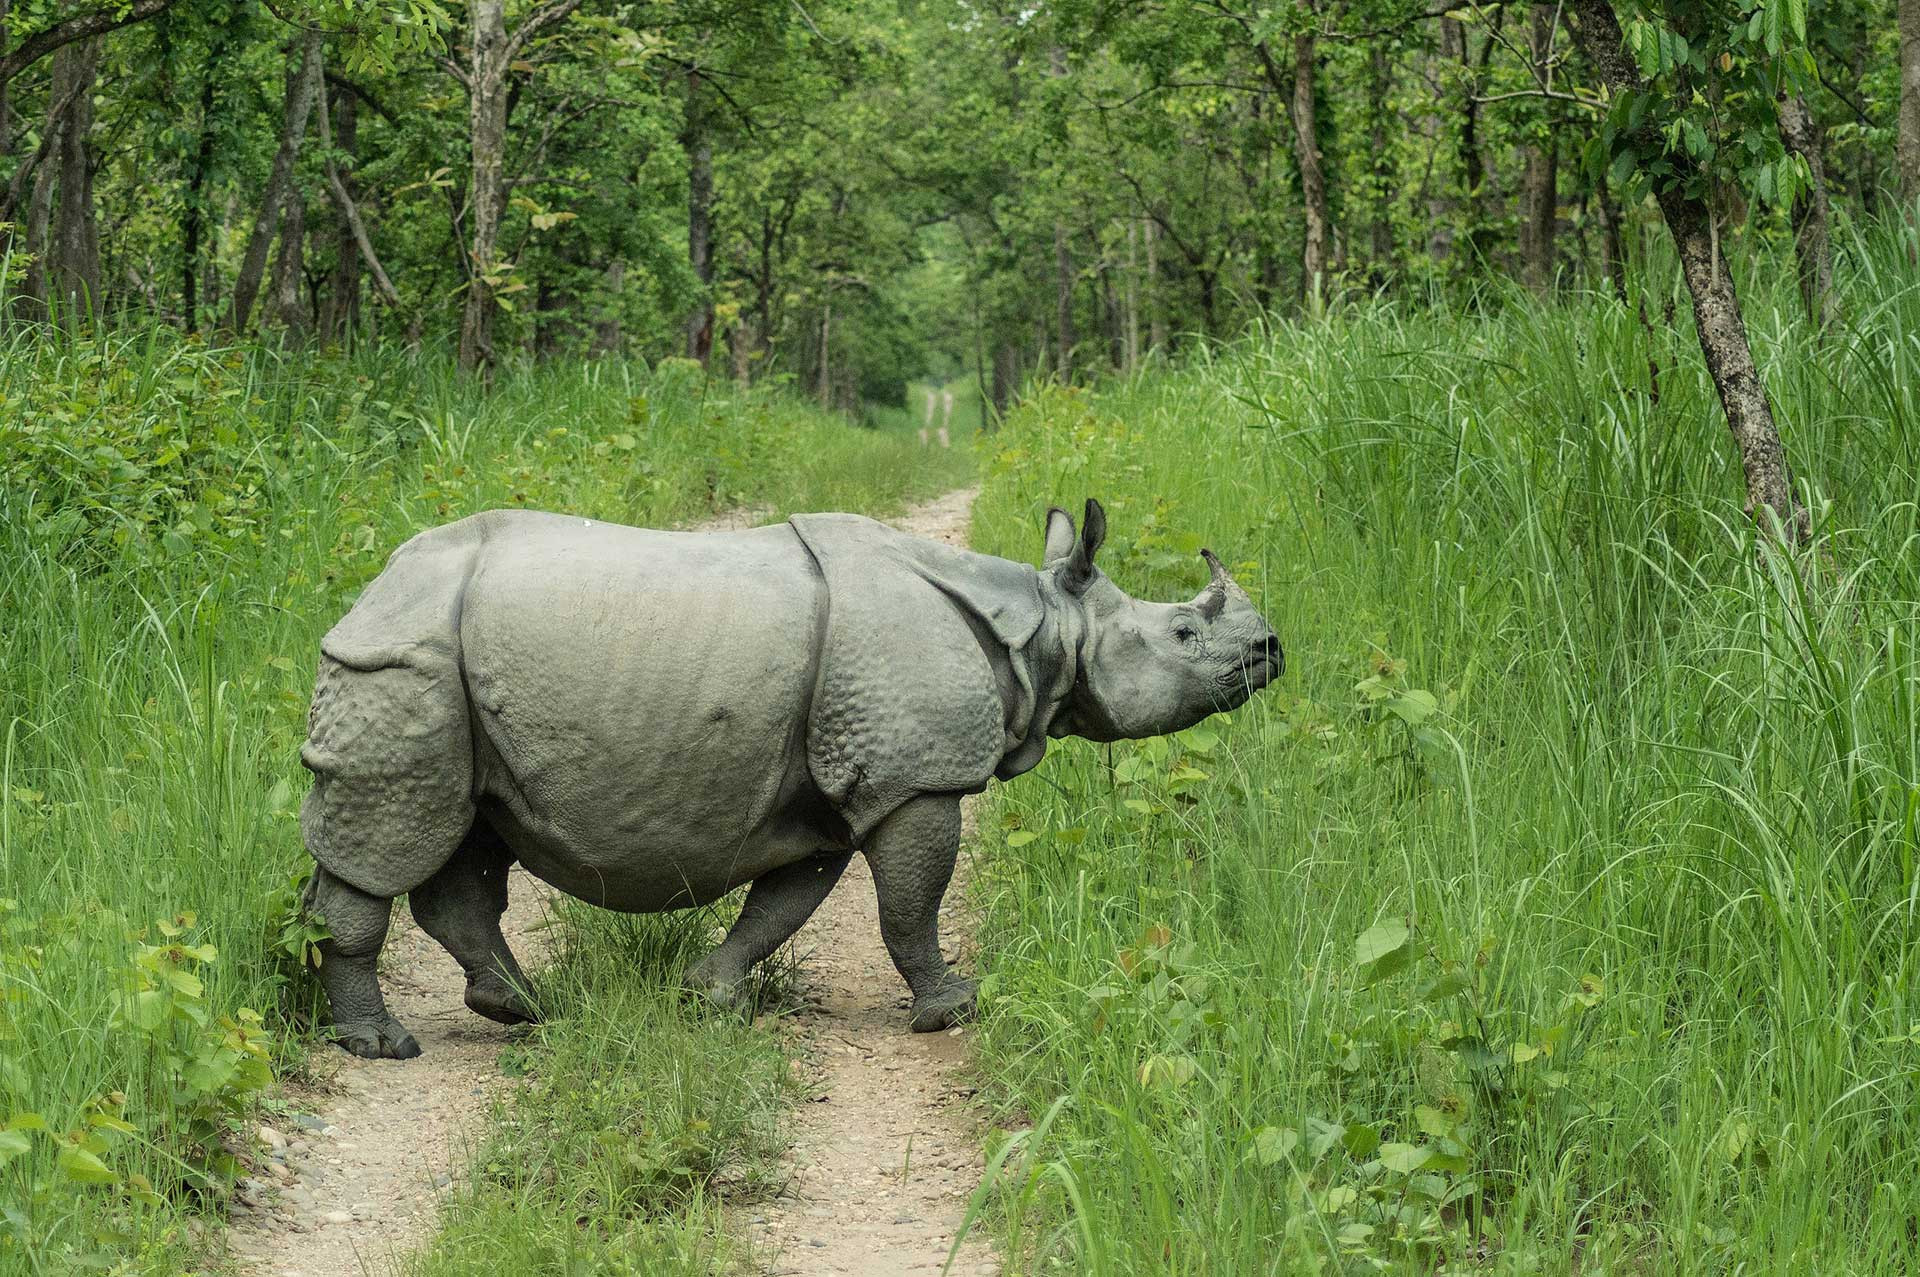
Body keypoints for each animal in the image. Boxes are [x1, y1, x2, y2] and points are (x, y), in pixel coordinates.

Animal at [298, 499, 1282, 1058]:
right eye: (1185, 634)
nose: (1271, 650)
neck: (1041, 623)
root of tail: (372, 584)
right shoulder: (918, 776)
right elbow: (910, 905)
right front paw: (952, 1008)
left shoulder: (827, 792)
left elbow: (784, 905)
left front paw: (710, 996)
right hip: (406, 658)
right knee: (395, 833)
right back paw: (384, 1045)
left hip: (442, 664)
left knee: (468, 831)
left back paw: (523, 1007)